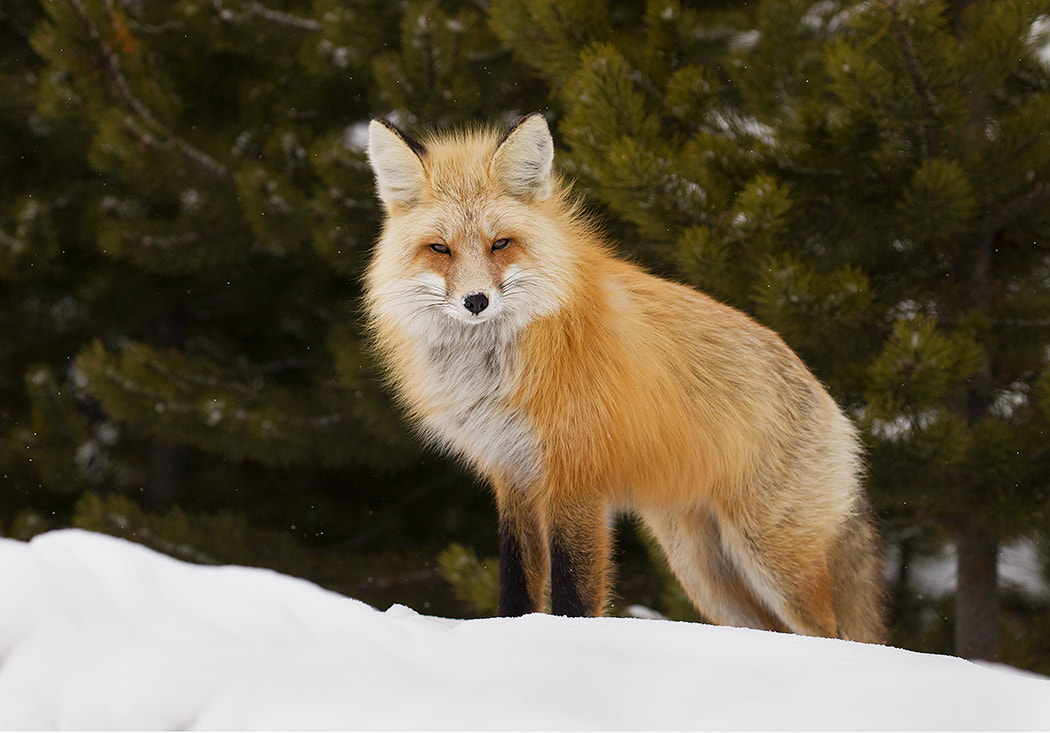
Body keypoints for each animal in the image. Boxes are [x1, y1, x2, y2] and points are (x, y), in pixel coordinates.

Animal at [363, 112, 887, 643]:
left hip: (769, 558)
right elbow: (517, 586)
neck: (494, 371)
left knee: (830, 633)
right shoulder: (514, 477)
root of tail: (830, 401)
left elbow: (574, 592)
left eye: (501, 244)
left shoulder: (577, 479)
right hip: (704, 571)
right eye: (440, 249)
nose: (476, 300)